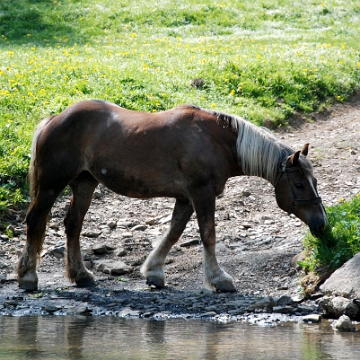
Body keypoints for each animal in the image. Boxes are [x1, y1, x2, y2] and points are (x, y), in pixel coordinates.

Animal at [16, 100, 328, 292]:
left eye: (314, 181)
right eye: (299, 185)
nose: (322, 223)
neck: (217, 140)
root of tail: (54, 119)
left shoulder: (186, 198)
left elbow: (174, 232)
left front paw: (153, 271)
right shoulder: (202, 194)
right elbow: (208, 235)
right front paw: (218, 278)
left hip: (84, 183)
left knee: (73, 225)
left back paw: (80, 275)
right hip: (51, 185)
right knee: (35, 221)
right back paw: (28, 276)